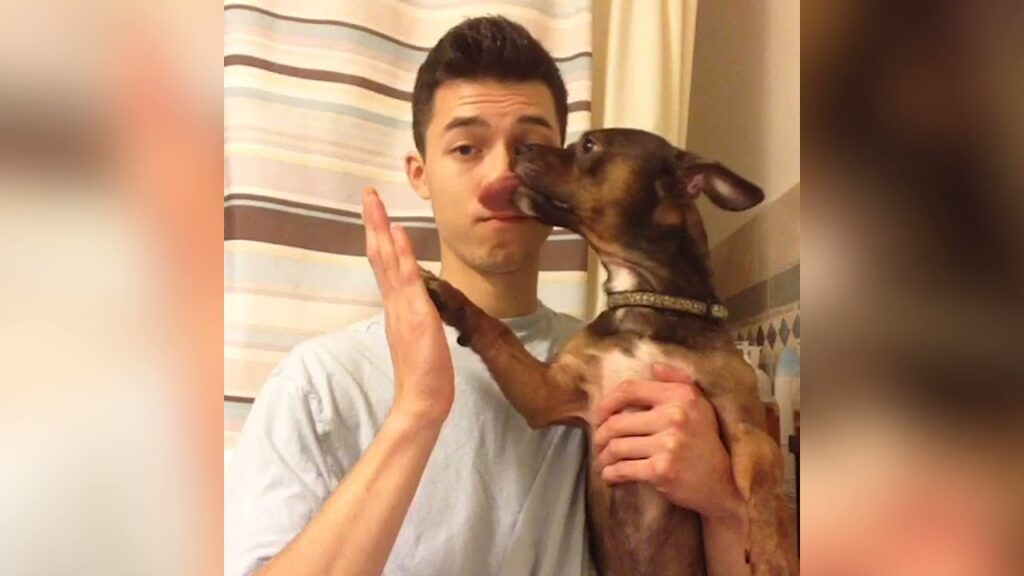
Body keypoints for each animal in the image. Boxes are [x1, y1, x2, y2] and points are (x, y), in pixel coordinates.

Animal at [419, 130, 794, 573]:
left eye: (589, 147)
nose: (522, 146)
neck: (647, 302)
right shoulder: (550, 392)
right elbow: (497, 329)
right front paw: (450, 296)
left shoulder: (745, 425)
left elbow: (768, 473)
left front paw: (774, 551)